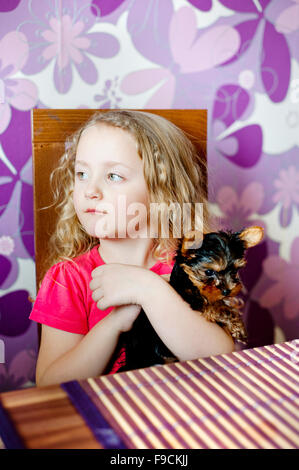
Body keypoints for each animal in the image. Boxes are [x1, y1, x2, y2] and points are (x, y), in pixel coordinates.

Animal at [116, 226, 264, 372]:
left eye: (234, 271)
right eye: (209, 272)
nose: (227, 291)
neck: (189, 282)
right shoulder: (193, 300)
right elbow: (218, 307)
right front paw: (237, 324)